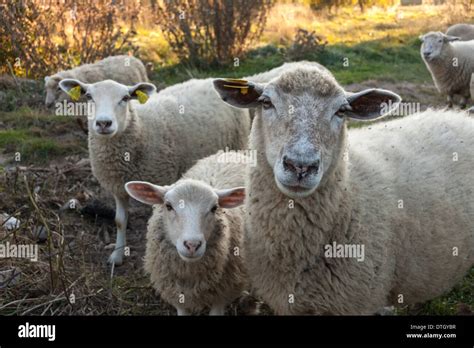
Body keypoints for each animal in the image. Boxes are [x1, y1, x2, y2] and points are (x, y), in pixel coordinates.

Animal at [58, 79, 250, 266]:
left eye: (125, 98)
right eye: (89, 96)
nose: (104, 123)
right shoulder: (118, 187)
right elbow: (119, 221)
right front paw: (117, 255)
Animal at [124, 152, 250, 316]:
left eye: (214, 208)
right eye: (168, 206)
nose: (192, 245)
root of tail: (231, 152)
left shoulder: (222, 294)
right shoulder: (177, 296)